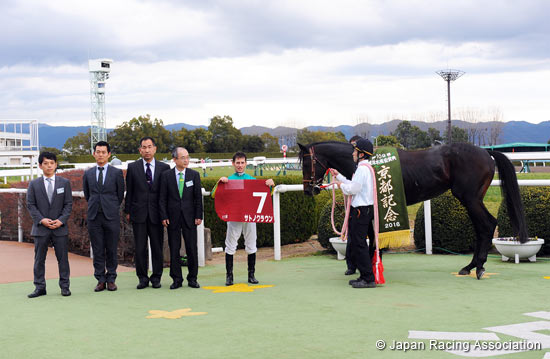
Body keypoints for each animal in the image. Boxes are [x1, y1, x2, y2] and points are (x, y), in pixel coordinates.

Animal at [302, 141, 532, 282]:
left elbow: (373, 236)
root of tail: (486, 152)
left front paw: (371, 268)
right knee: (482, 228)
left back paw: (477, 267)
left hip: (470, 198)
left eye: (307, 162)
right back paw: (471, 266)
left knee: (487, 225)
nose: (308, 190)